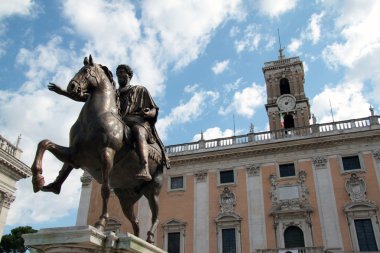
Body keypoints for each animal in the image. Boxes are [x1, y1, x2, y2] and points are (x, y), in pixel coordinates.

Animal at [30, 55, 165, 243]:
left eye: (86, 71)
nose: (72, 87)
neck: (96, 117)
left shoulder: (107, 153)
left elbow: (105, 189)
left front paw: (101, 223)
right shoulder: (74, 155)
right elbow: (44, 143)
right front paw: (38, 179)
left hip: (154, 190)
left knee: (156, 215)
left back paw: (150, 237)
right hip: (127, 197)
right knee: (136, 221)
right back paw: (134, 238)